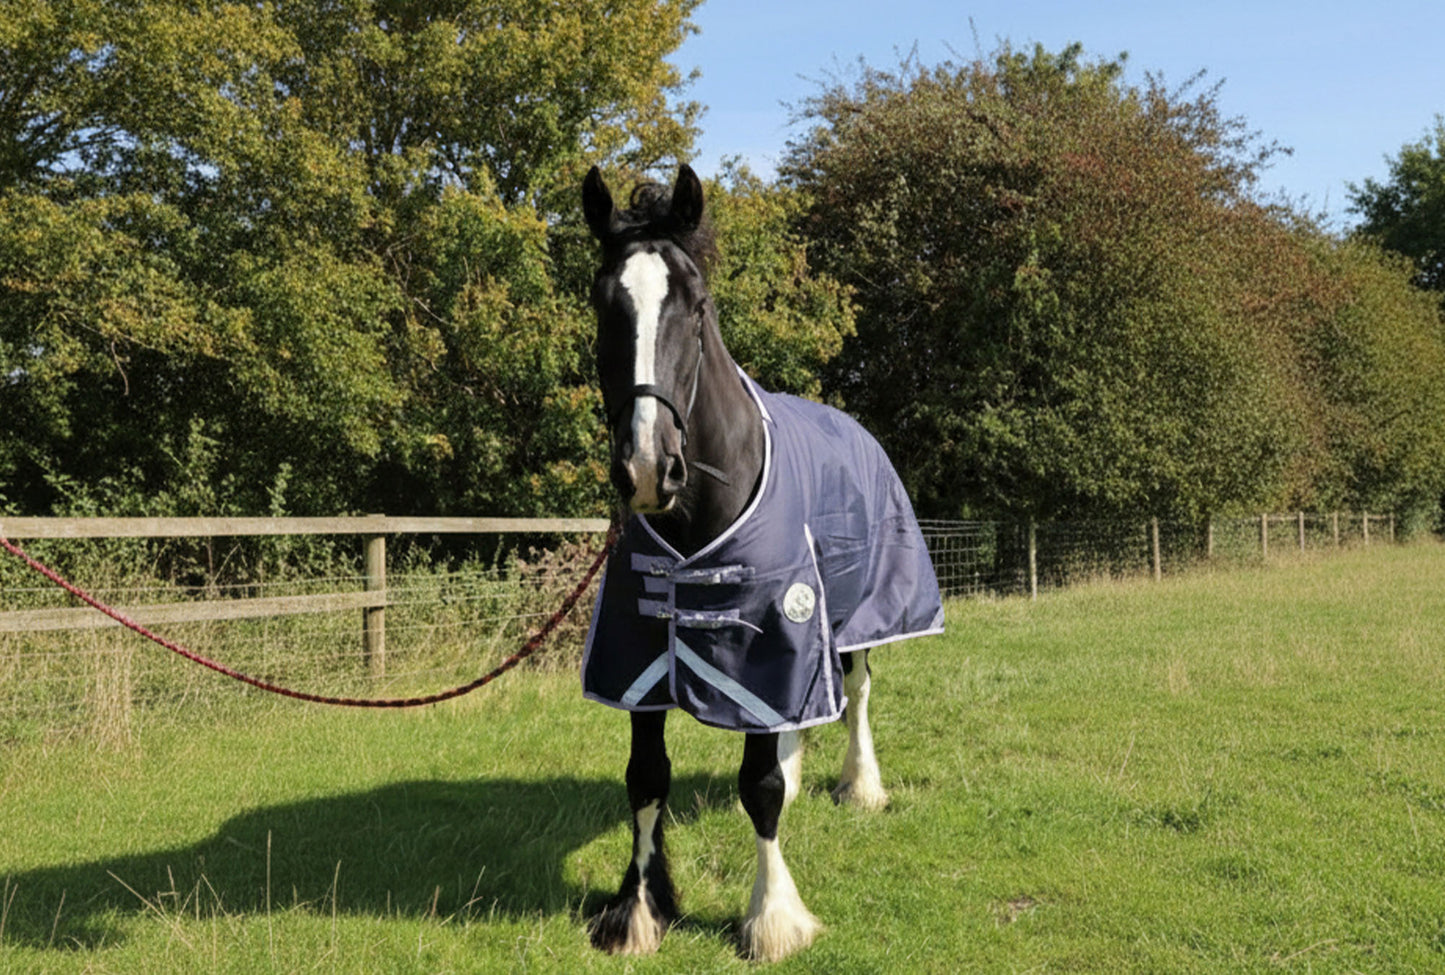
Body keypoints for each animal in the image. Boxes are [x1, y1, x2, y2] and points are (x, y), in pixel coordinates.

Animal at [580, 164, 943, 961]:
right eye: (602, 303)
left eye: (696, 306)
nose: (647, 467)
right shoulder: (642, 653)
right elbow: (646, 777)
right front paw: (639, 909)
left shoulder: (775, 633)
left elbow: (759, 790)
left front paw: (773, 915)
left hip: (853, 617)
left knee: (855, 695)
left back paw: (860, 785)